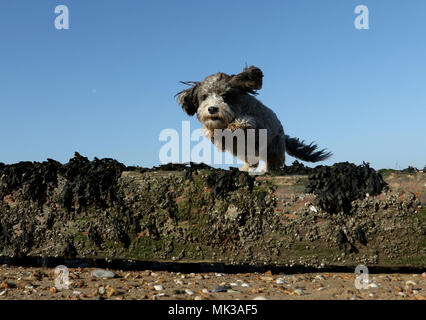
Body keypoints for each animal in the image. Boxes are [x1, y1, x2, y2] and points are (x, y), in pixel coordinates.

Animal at [175, 65, 332, 172]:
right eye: (204, 97)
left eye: (225, 96)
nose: (212, 109)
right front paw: (211, 130)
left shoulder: (259, 127)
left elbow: (246, 121)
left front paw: (235, 125)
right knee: (253, 161)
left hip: (274, 148)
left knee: (272, 161)